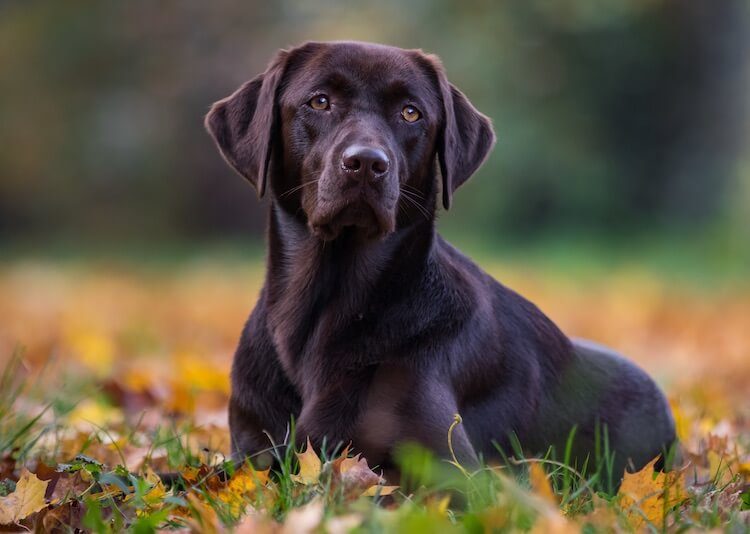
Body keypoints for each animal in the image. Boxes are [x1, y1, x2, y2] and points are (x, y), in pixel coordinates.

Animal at [203, 42, 680, 486]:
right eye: (319, 101)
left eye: (411, 113)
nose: (366, 163)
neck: (326, 308)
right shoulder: (252, 453)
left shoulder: (454, 470)